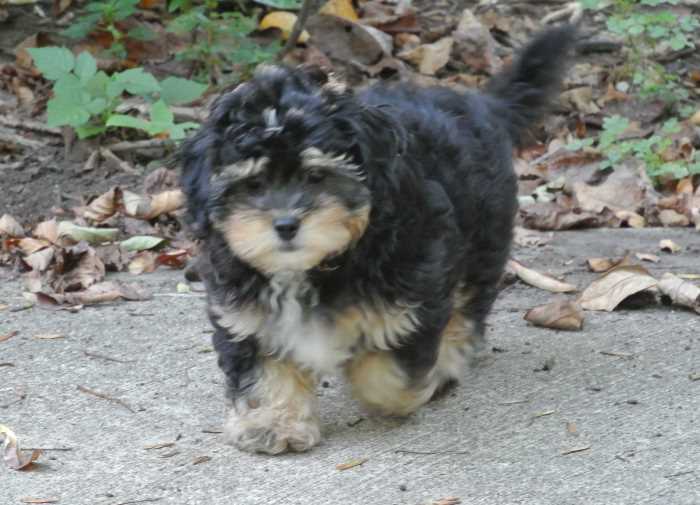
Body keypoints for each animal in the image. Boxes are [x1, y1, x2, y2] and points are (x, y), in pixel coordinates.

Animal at [183, 25, 576, 454]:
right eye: (253, 183)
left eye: (316, 176)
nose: (285, 224)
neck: (313, 268)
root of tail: (478, 103)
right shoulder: (246, 314)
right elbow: (264, 368)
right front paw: (273, 423)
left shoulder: (411, 292)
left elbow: (388, 371)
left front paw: (386, 383)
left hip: (483, 238)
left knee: (467, 305)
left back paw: (448, 360)